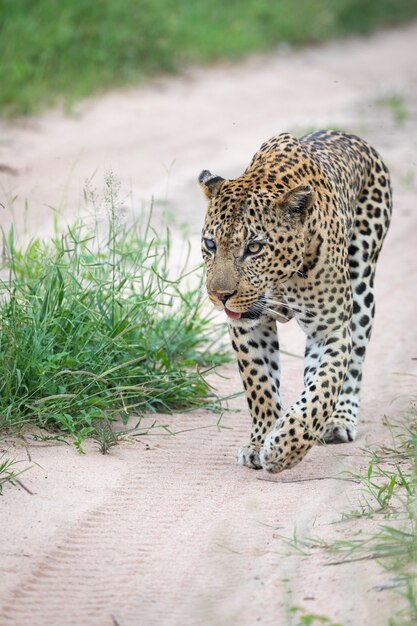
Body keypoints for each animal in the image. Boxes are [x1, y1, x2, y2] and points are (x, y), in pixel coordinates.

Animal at [197, 129, 390, 470]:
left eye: (254, 247)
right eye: (210, 244)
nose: (221, 296)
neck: (280, 281)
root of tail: (350, 136)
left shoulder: (331, 329)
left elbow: (323, 389)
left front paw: (285, 448)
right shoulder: (249, 327)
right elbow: (259, 384)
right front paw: (260, 440)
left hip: (362, 289)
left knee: (352, 363)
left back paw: (340, 420)